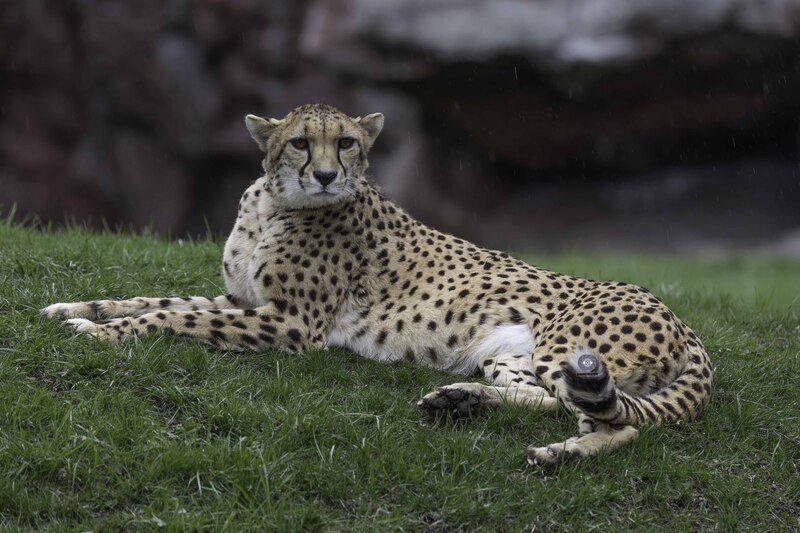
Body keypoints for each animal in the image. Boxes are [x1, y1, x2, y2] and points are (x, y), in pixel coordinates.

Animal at [41, 103, 714, 465]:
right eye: (299, 143)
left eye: (345, 142)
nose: (324, 174)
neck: (273, 205)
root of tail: (682, 319)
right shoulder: (242, 301)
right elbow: (152, 300)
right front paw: (73, 308)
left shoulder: (287, 324)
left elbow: (171, 318)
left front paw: (97, 335)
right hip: (511, 355)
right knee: (553, 401)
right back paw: (462, 401)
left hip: (566, 354)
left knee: (618, 420)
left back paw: (560, 453)